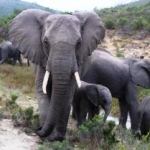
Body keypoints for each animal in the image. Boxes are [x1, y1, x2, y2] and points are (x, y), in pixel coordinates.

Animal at [7, 9, 104, 141]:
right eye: (45, 42)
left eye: (79, 43)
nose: (37, 129)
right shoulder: (42, 58)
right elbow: (42, 90)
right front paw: (48, 137)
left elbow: (67, 94)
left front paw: (57, 137)